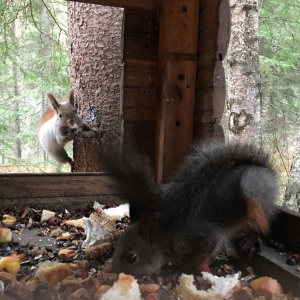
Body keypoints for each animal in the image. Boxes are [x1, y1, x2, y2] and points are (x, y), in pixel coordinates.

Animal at [108, 142, 278, 278]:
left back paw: (251, 240)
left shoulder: (203, 237)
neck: (168, 237)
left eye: (131, 257)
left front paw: (190, 268)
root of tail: (267, 172)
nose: (114, 274)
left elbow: (201, 256)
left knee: (263, 225)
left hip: (252, 191)